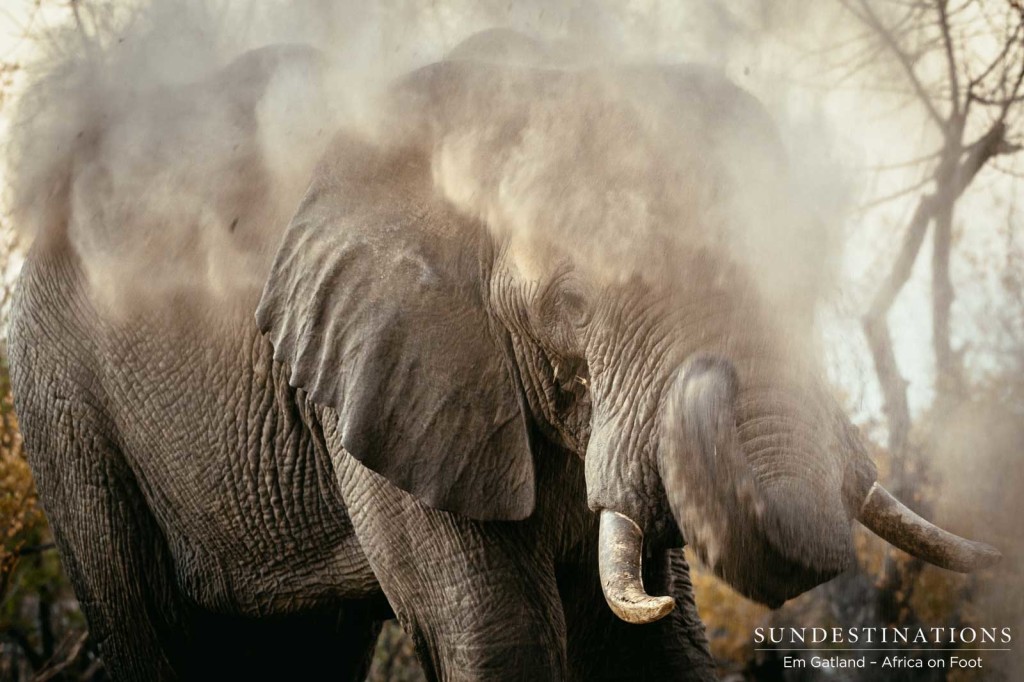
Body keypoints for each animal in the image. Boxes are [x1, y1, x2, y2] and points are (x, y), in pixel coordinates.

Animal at [8, 31, 999, 679]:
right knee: (152, 630)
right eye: (571, 303)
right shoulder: (385, 371)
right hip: (62, 407)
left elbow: (644, 638)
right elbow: (496, 628)